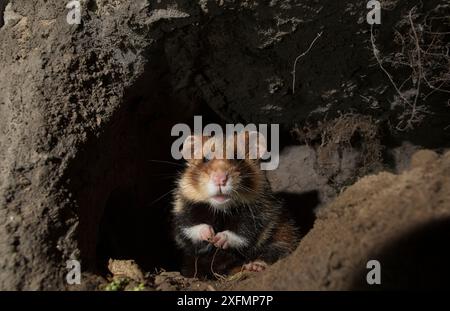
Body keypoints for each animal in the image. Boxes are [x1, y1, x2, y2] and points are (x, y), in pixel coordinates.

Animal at [171, 132, 298, 278]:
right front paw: (209, 234)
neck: (221, 210)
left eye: (237, 157)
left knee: (274, 252)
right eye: (205, 159)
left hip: (283, 235)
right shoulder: (183, 210)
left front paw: (219, 239)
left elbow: (244, 232)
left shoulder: (260, 213)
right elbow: (189, 228)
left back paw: (255, 266)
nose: (220, 179)